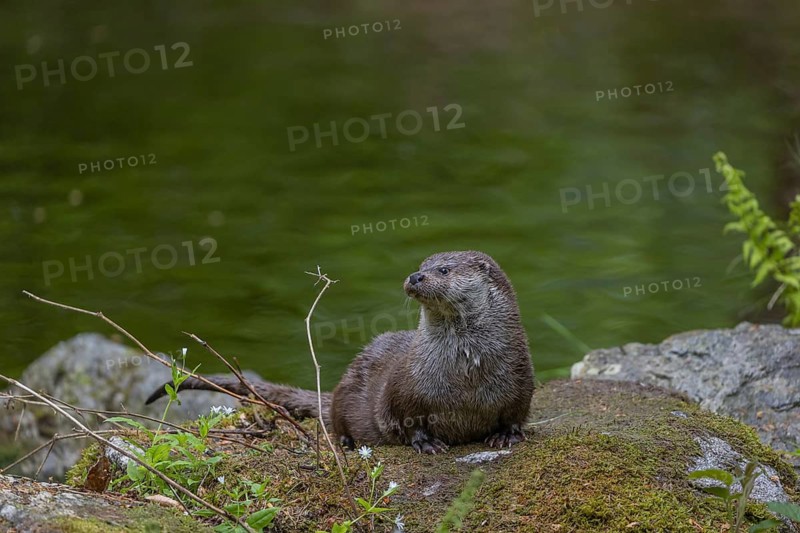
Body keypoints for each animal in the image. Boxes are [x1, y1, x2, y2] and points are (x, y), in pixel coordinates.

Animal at [146, 251, 534, 454]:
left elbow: (516, 414)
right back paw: (347, 441)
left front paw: (506, 435)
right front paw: (427, 444)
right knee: (335, 418)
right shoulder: (405, 387)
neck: (466, 373)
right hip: (346, 392)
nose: (415, 276)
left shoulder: (520, 378)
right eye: (421, 264)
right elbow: (405, 419)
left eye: (443, 269)